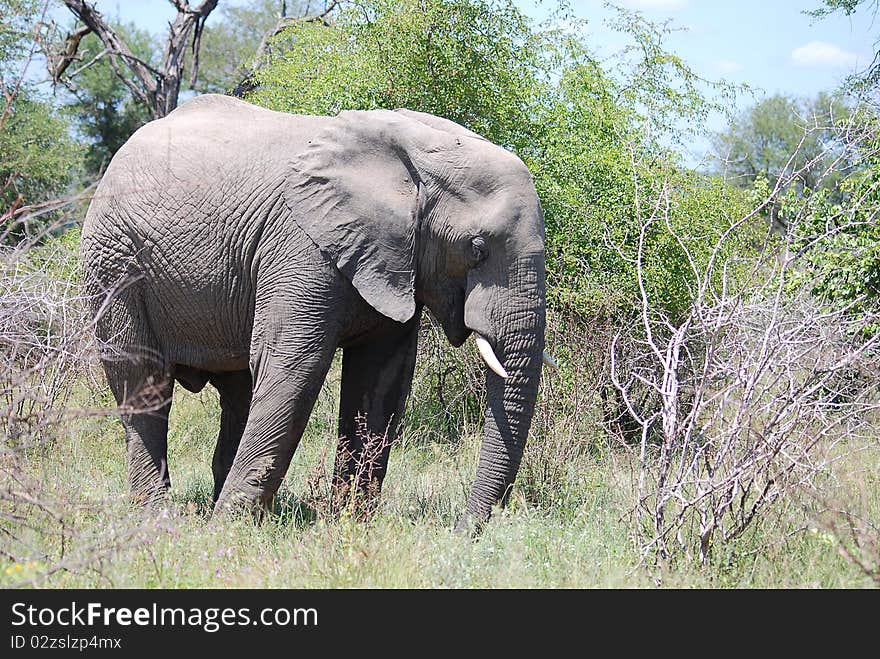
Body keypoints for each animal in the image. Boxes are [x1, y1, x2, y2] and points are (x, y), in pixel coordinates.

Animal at [82, 94, 552, 532]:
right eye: (477, 248)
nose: (462, 530)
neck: (414, 152)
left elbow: (382, 379)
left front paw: (349, 523)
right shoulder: (301, 245)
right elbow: (294, 366)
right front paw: (229, 531)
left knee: (238, 392)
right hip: (114, 263)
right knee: (143, 381)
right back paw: (156, 520)